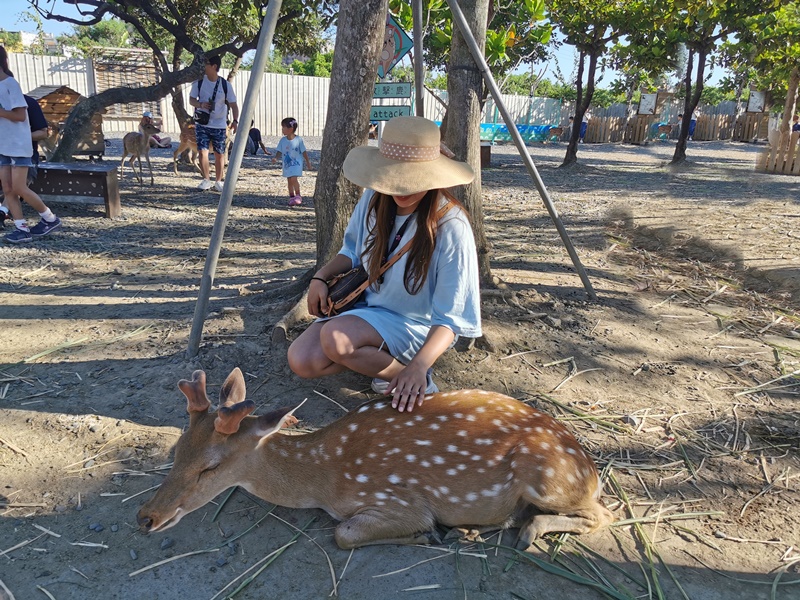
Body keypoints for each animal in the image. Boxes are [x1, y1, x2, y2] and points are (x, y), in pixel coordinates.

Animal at [138, 368, 612, 552]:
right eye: (176, 450)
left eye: (210, 466)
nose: (146, 517)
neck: (324, 477)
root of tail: (590, 469)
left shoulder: (397, 499)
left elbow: (343, 533)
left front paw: (426, 535)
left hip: (548, 476)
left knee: (601, 514)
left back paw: (523, 529)